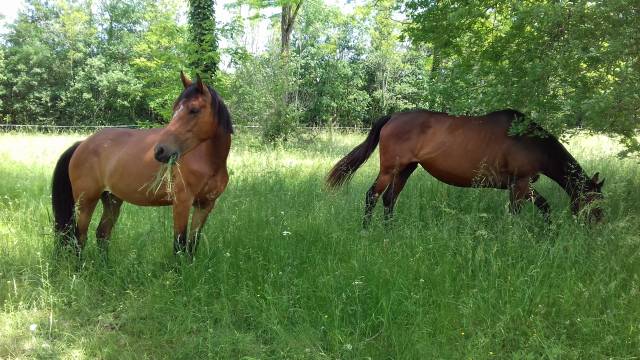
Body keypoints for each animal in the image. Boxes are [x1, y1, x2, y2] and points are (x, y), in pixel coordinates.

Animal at [52, 73, 232, 258]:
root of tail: (82, 144)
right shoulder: (182, 203)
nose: (160, 150)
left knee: (102, 233)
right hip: (86, 201)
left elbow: (192, 245)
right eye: (175, 109)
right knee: (79, 238)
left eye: (194, 110)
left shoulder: (205, 206)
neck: (208, 162)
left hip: (111, 200)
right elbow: (179, 245)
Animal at [328, 109, 604, 225]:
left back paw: (389, 232)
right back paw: (367, 231)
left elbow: (542, 208)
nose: (597, 227)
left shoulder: (519, 186)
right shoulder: (521, 184)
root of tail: (393, 116)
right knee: (372, 196)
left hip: (406, 170)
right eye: (594, 202)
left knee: (389, 199)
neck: (529, 140)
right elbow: (522, 213)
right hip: (390, 170)